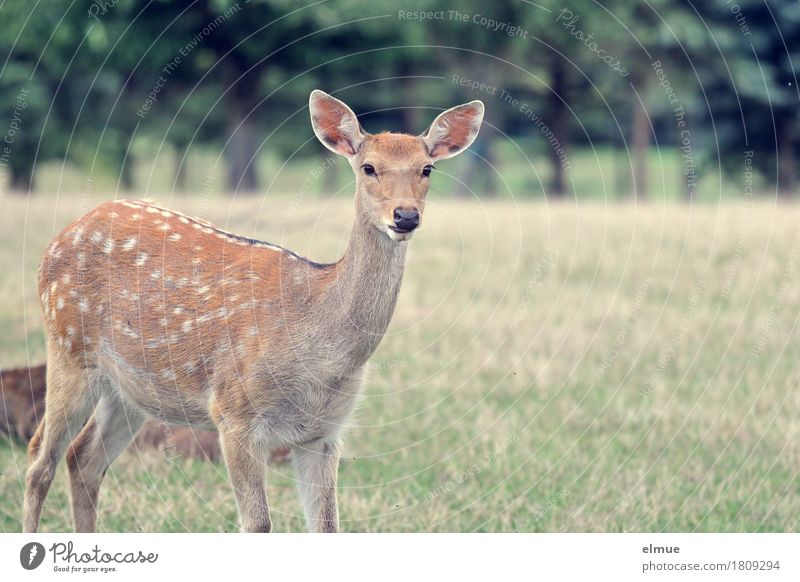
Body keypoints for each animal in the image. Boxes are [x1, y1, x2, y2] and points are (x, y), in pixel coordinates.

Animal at [25, 90, 484, 532]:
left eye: (428, 169)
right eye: (368, 167)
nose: (405, 216)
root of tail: (60, 237)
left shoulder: (325, 431)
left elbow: (328, 527)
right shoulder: (233, 411)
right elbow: (258, 524)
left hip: (132, 390)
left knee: (82, 459)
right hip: (67, 348)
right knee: (38, 459)